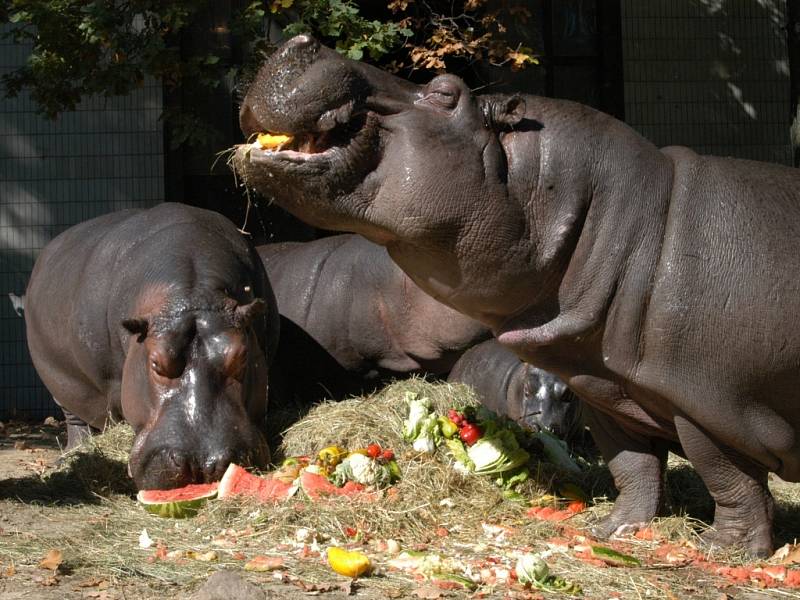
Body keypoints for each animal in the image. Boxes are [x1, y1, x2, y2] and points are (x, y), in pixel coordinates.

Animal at [24, 204, 278, 490]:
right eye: (156, 363)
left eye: (241, 356)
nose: (202, 463)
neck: (191, 292)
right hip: (61, 387)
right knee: (75, 420)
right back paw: (70, 455)